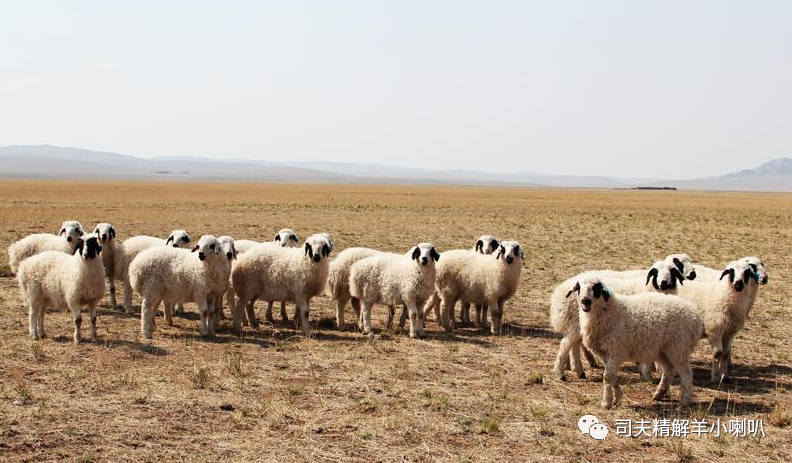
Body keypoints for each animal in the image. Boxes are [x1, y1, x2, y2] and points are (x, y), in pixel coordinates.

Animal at [552, 260, 688, 382]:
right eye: (656, 272)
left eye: (672, 272)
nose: (663, 283)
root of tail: (561, 291)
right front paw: (650, 372)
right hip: (576, 323)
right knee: (567, 343)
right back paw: (562, 373)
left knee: (575, 344)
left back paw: (580, 371)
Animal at [568, 278, 704, 408]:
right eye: (579, 288)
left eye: (596, 288)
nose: (585, 301)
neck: (610, 311)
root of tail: (695, 314)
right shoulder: (605, 354)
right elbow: (613, 376)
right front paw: (617, 398)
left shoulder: (614, 350)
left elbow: (607, 377)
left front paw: (606, 403)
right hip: (663, 349)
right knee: (669, 370)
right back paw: (659, 394)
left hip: (679, 347)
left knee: (686, 373)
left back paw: (685, 401)